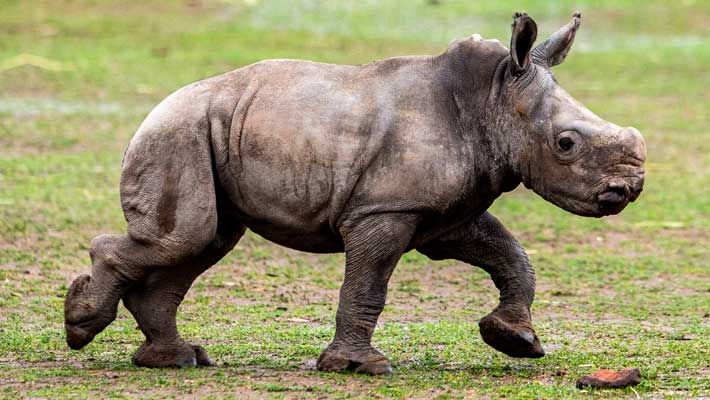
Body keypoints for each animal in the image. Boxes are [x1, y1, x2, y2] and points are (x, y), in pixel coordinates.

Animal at [64, 12, 646, 374]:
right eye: (566, 143)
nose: (628, 190)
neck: (493, 98)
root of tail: (154, 108)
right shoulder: (383, 209)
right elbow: (369, 284)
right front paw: (359, 367)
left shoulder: (444, 211)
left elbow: (511, 255)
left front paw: (516, 341)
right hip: (179, 132)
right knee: (183, 237)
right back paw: (81, 327)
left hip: (209, 132)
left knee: (205, 241)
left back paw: (178, 359)